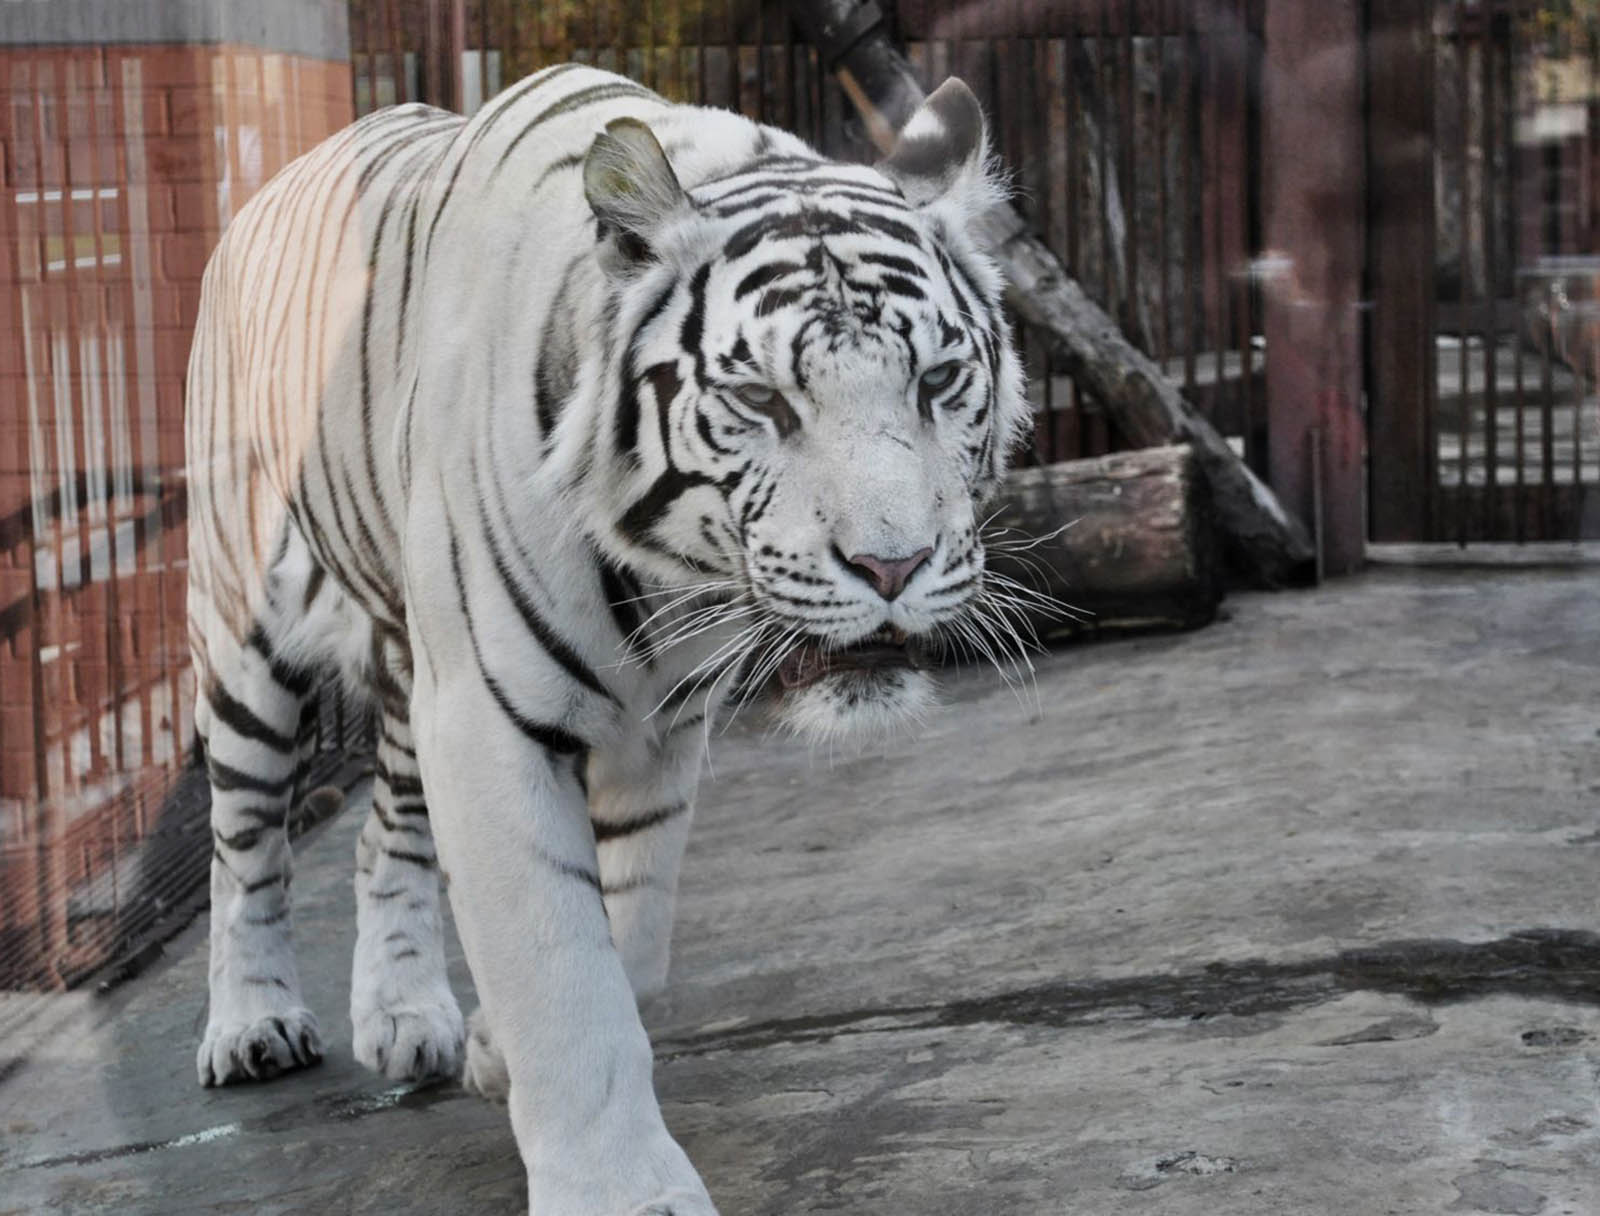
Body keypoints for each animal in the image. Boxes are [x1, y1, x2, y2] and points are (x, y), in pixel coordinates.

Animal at [187, 61, 1030, 1209]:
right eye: (759, 398)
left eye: (937, 382)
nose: (891, 566)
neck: (664, 580)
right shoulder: (484, 724)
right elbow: (562, 973)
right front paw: (619, 1183)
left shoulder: (657, 733)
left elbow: (627, 935)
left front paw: (497, 1048)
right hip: (244, 639)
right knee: (242, 848)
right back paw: (252, 1023)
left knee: (377, 834)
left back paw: (405, 1015)